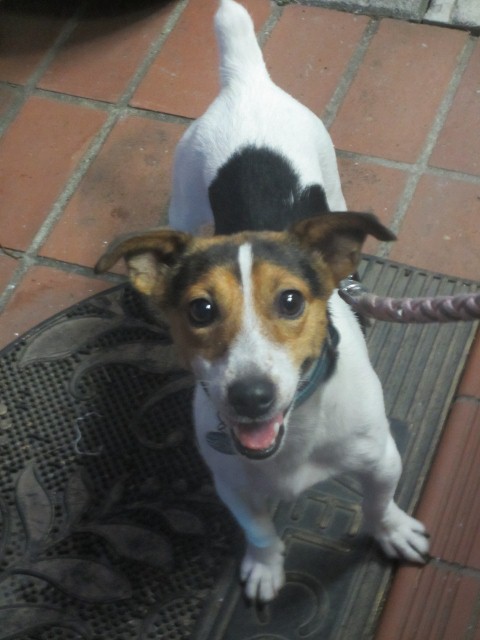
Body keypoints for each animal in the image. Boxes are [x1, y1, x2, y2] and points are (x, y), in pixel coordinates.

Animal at [95, 0, 430, 602]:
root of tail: (246, 83)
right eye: (200, 310)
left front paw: (391, 532)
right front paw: (266, 565)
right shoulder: (230, 482)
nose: (250, 397)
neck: (297, 429)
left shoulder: (381, 460)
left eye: (292, 301)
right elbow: (258, 528)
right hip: (183, 197)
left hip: (332, 176)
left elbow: (377, 504)